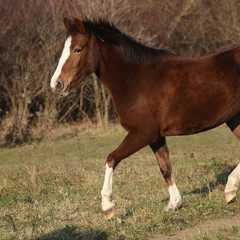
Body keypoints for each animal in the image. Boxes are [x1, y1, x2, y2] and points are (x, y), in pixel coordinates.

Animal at [50, 17, 240, 218]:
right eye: (63, 48)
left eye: (78, 49)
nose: (56, 84)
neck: (134, 79)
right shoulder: (155, 136)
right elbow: (164, 167)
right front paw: (174, 203)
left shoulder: (143, 133)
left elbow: (111, 159)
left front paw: (108, 206)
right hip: (234, 119)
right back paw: (230, 190)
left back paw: (229, 188)